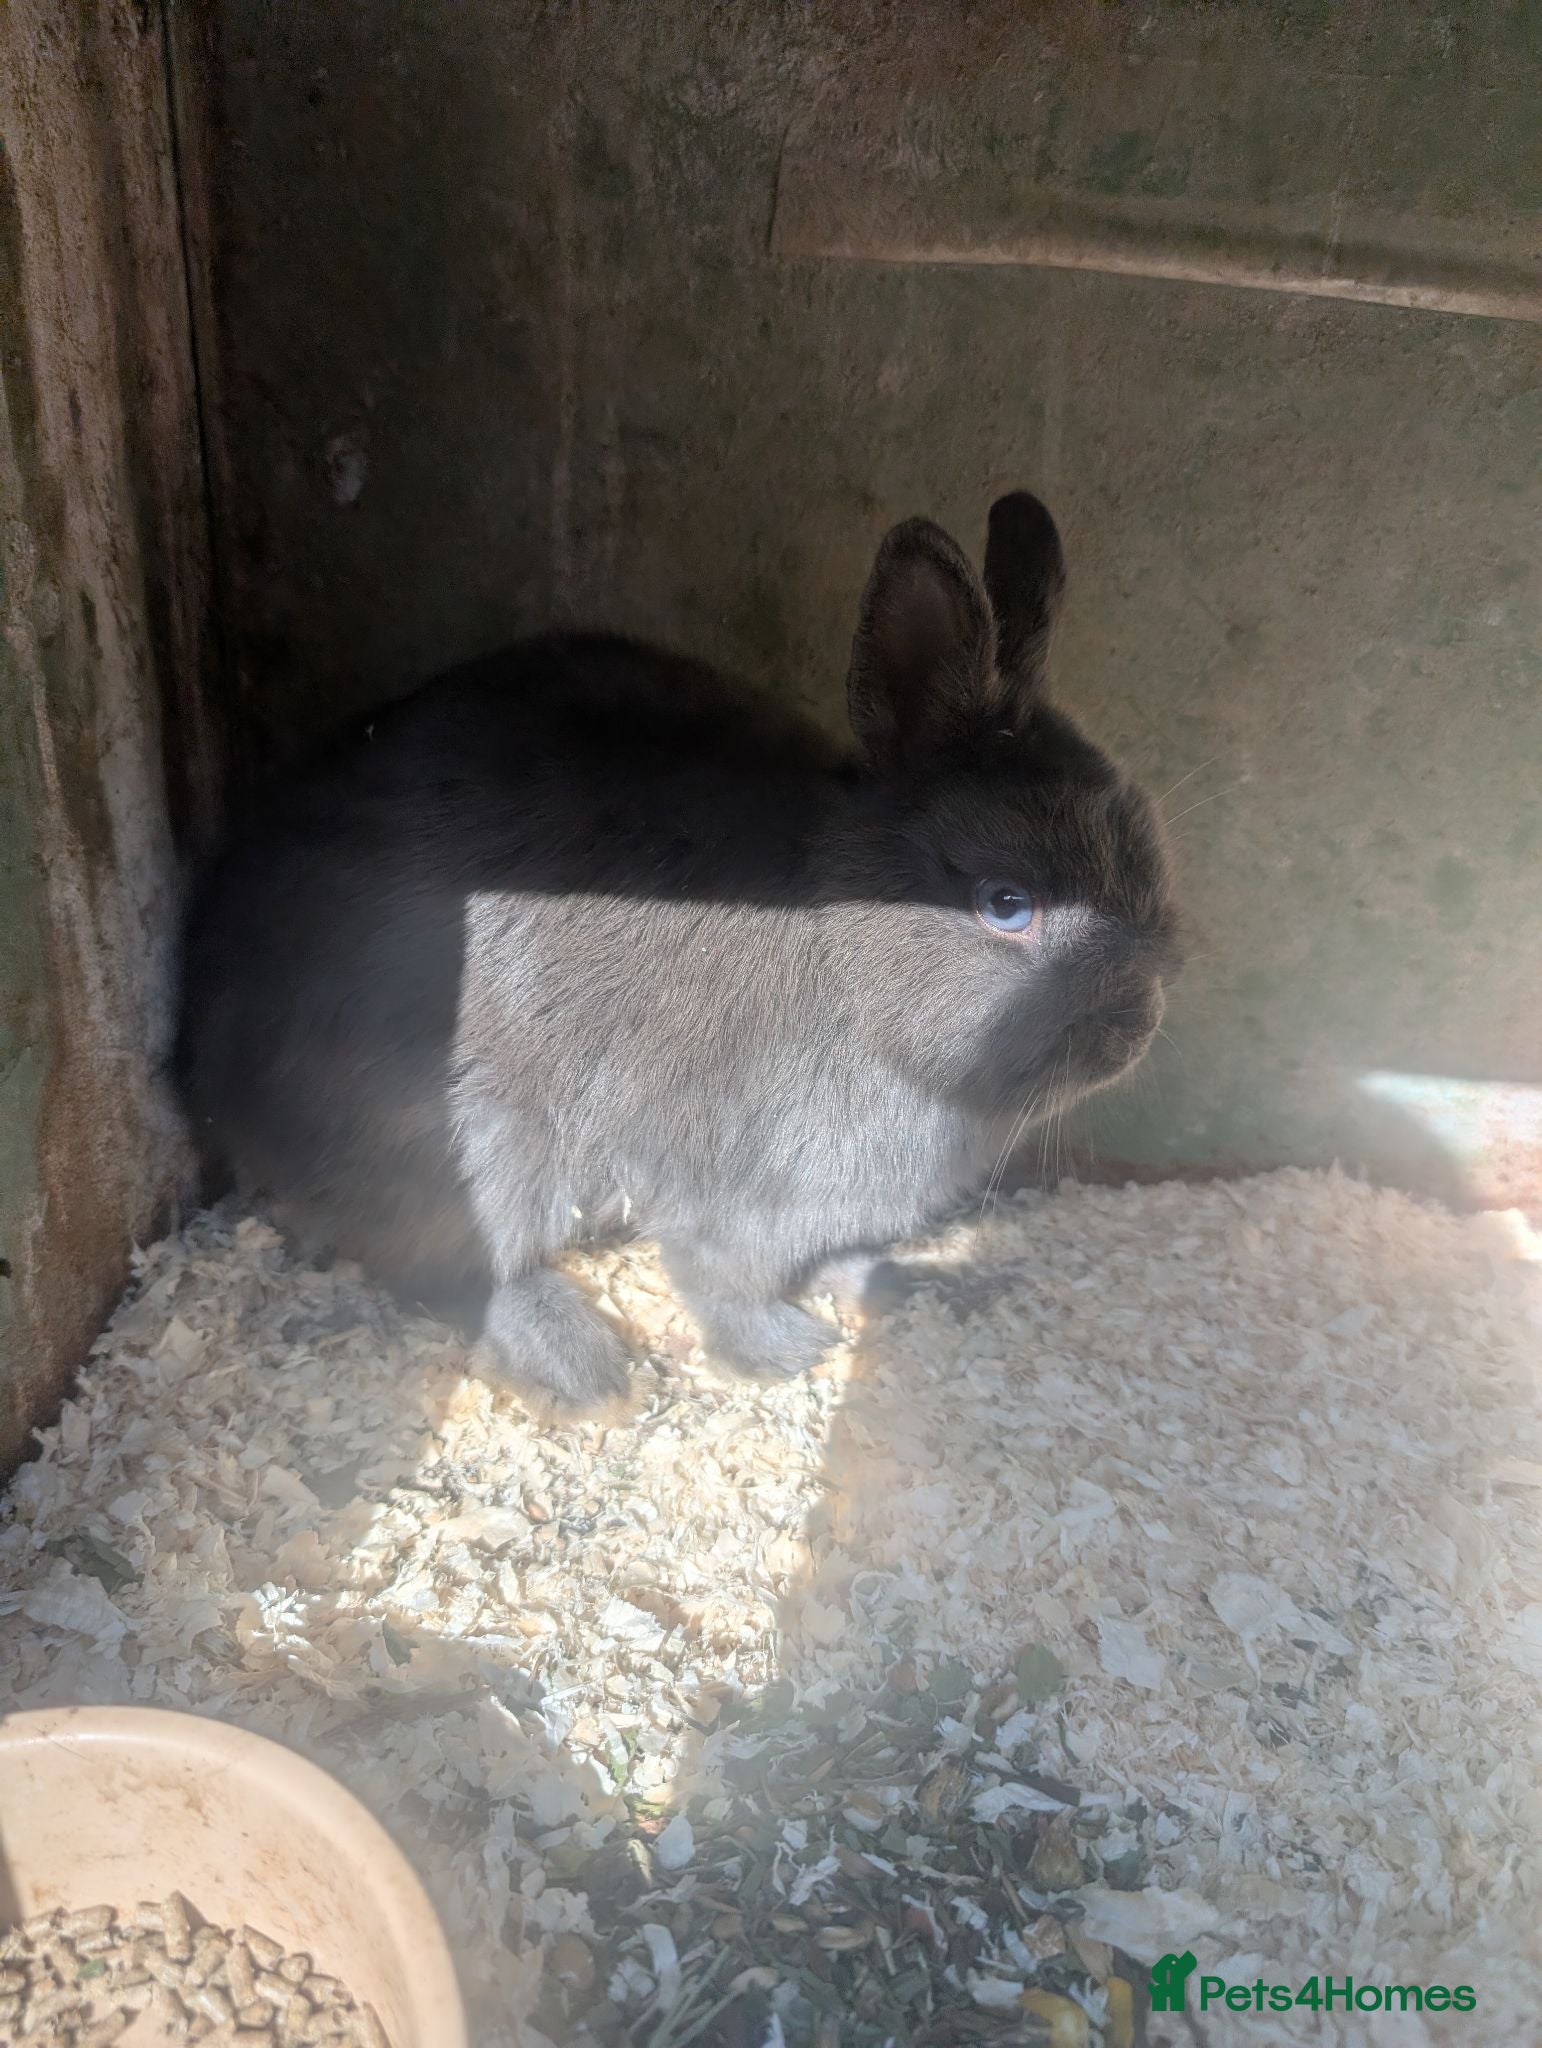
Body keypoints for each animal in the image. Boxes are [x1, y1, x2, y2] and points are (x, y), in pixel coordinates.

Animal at [179, 491, 1179, 1404]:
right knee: (449, 1270)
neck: (851, 971)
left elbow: (841, 1259)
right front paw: (784, 1352)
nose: (1136, 1032)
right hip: (472, 1151)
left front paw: (912, 1286)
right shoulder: (730, 1202)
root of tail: (210, 1078)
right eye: (1006, 906)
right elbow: (722, 1286)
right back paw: (582, 1368)